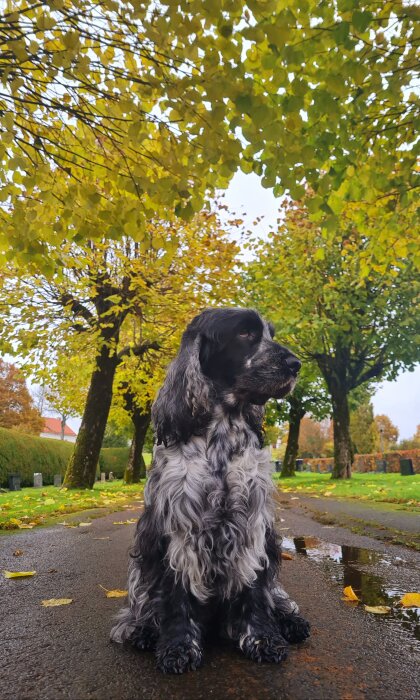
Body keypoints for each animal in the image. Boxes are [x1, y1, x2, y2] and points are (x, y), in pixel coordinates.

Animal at [110, 310, 310, 672]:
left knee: (276, 594)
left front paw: (264, 639)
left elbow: (255, 591)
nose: (296, 365)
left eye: (270, 334)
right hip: (140, 571)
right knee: (138, 608)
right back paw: (143, 630)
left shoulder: (252, 524)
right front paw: (177, 647)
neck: (222, 435)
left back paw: (291, 622)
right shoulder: (178, 527)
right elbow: (177, 597)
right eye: (245, 333)